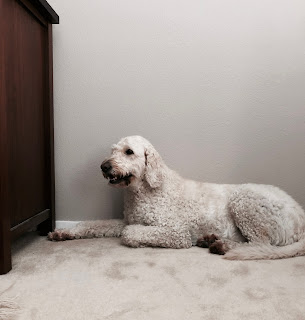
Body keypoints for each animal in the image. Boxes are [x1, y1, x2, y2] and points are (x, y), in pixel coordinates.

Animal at [47, 135, 304, 260]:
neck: (145, 189)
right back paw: (211, 240)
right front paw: (63, 232)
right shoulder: (127, 219)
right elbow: (92, 224)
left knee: (262, 245)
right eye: (112, 151)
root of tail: (301, 215)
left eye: (129, 152)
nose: (104, 166)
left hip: (245, 201)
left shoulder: (175, 232)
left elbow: (129, 233)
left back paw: (221, 245)